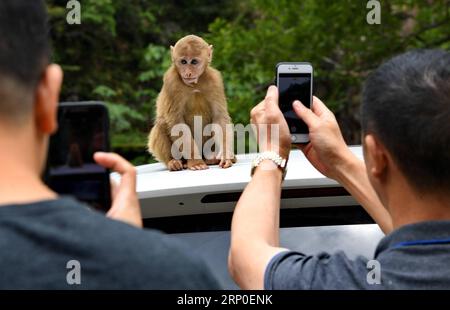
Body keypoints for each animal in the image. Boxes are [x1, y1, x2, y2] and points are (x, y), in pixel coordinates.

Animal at [148, 36, 236, 172]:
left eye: (194, 62)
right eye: (183, 62)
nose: (188, 73)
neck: (194, 84)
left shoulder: (215, 80)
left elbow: (219, 118)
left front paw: (226, 156)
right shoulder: (171, 82)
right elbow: (177, 123)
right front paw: (195, 162)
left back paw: (212, 158)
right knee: (161, 123)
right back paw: (174, 162)